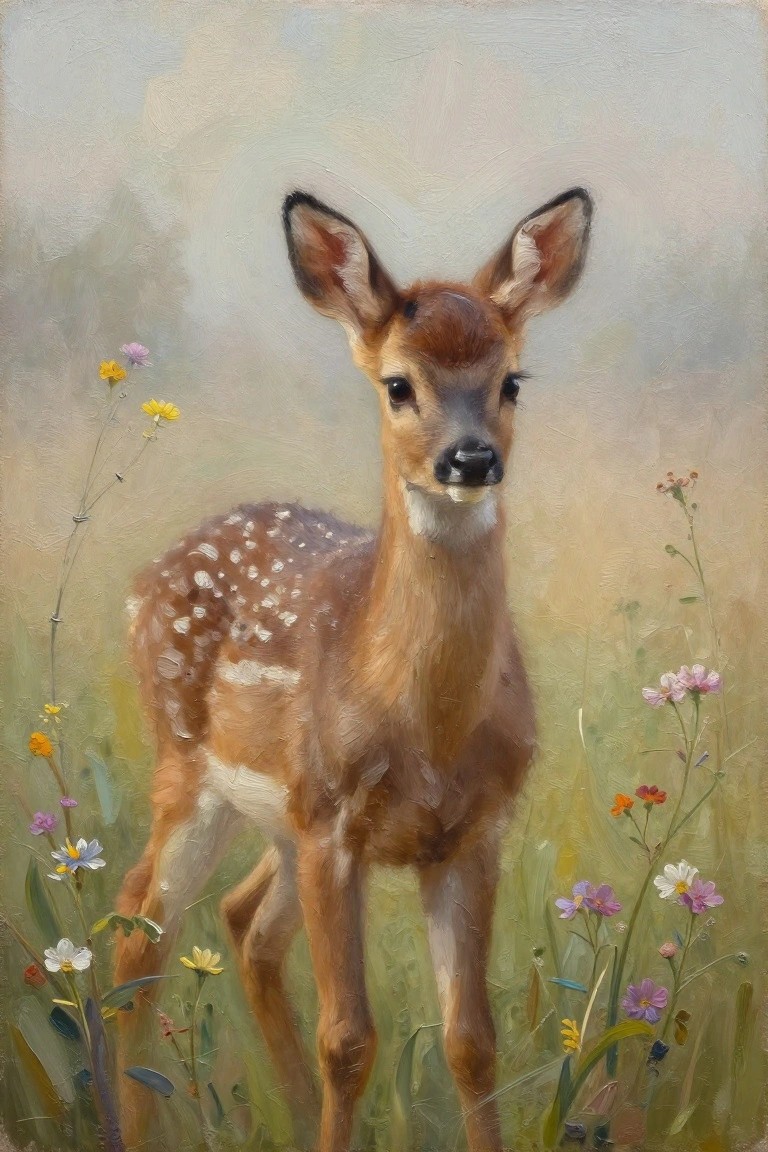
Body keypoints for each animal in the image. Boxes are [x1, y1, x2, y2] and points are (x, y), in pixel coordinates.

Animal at [114, 186, 593, 1152]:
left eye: (511, 380)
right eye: (398, 384)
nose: (471, 458)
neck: (429, 729)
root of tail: (145, 581)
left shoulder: (474, 830)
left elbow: (470, 1040)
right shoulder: (333, 820)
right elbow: (349, 1040)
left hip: (276, 820)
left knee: (242, 925)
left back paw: (294, 1117)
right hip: (193, 771)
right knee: (140, 934)